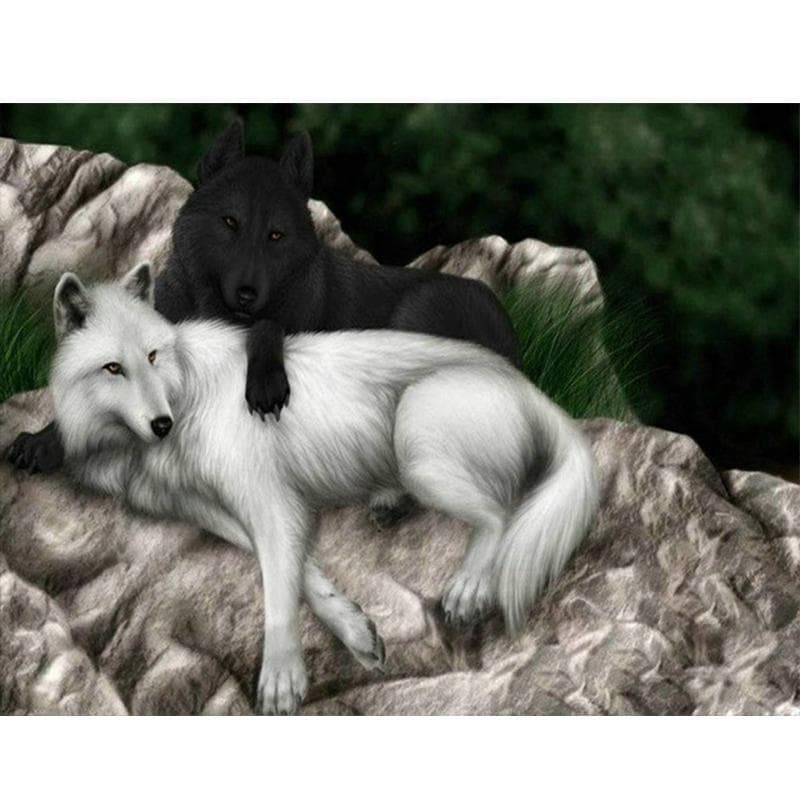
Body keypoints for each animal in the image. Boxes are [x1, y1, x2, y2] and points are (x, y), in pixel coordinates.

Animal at [10, 120, 520, 532]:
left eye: (275, 235)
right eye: (230, 223)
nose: (247, 294)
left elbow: (268, 328)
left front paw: (266, 382)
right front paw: (42, 442)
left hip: (415, 322)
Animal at [50, 264, 598, 715]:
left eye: (153, 356)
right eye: (113, 368)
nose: (162, 424)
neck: (185, 391)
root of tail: (529, 387)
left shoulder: (269, 502)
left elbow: (277, 588)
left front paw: (281, 678)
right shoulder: (217, 512)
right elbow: (303, 572)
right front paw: (355, 630)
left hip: (416, 438)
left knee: (502, 513)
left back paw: (468, 588)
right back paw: (389, 504)